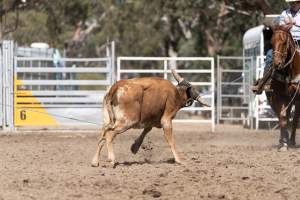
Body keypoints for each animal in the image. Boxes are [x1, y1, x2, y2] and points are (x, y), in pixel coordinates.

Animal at [268, 23, 300, 151]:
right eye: (271, 42)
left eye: (284, 42)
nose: (276, 64)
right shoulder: (279, 97)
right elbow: (282, 118)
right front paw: (284, 144)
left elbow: (295, 120)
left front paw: (290, 141)